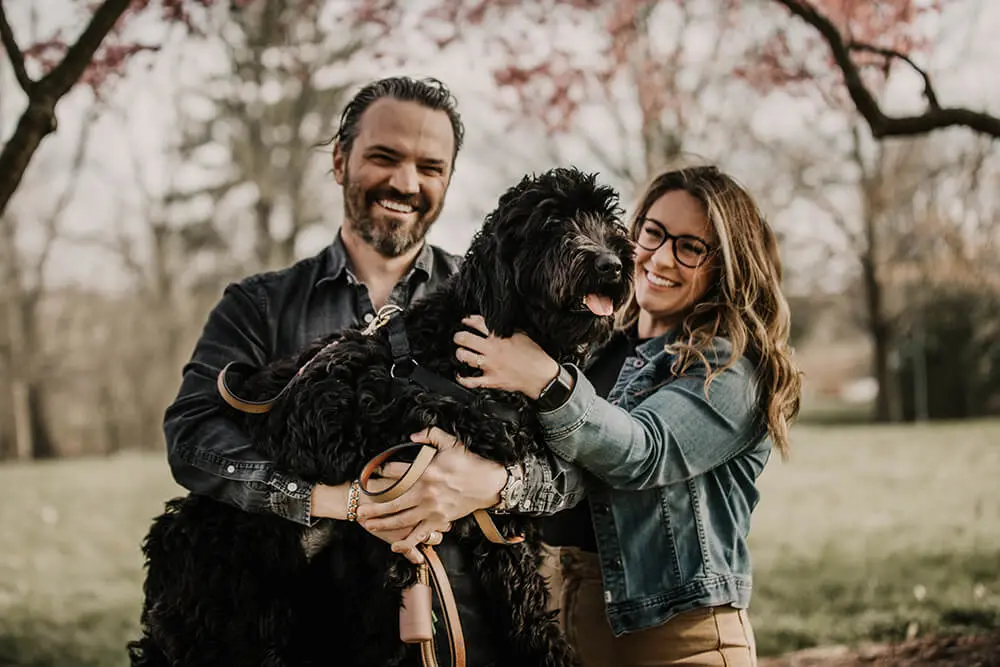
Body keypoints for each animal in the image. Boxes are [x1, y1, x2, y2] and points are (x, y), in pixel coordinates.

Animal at [131, 168, 632, 667]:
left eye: (607, 219)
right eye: (550, 223)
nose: (611, 264)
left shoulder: (498, 524)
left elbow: (523, 601)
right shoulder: (324, 410)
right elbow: (416, 410)